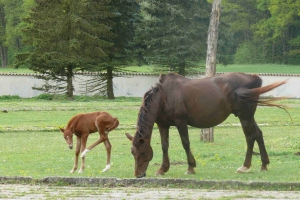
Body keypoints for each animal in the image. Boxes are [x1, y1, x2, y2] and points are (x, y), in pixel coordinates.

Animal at [125, 72, 288, 178]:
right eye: (132, 152)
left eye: (143, 152)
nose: (138, 175)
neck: (164, 96)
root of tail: (250, 77)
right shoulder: (163, 125)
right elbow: (165, 146)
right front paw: (163, 169)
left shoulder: (181, 122)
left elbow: (185, 143)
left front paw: (191, 167)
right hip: (248, 117)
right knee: (258, 134)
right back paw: (264, 164)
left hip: (245, 117)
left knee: (250, 137)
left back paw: (245, 166)